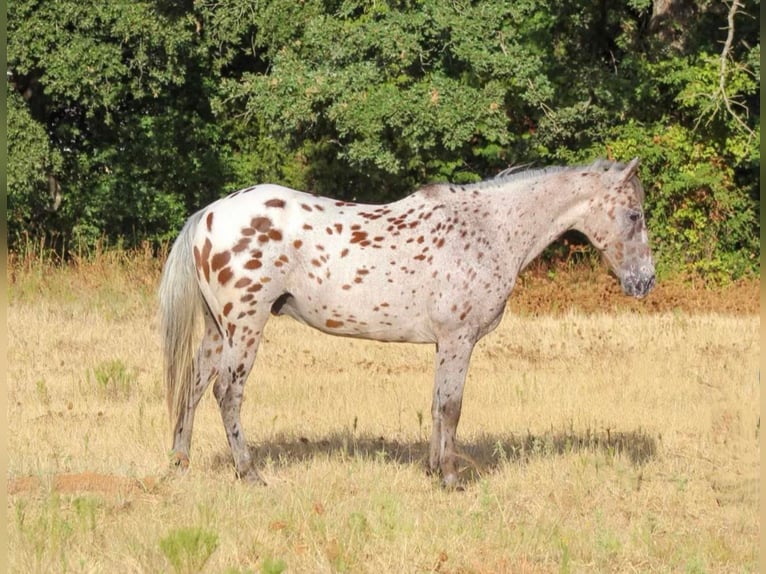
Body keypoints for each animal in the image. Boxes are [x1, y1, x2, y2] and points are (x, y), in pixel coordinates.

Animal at [159, 159, 656, 490]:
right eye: (635, 215)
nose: (645, 281)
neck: (489, 229)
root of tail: (208, 216)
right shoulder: (459, 339)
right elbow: (452, 407)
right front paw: (452, 479)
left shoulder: (445, 343)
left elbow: (437, 406)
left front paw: (434, 470)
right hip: (245, 326)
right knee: (228, 393)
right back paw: (250, 473)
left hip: (217, 331)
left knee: (194, 385)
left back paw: (180, 462)